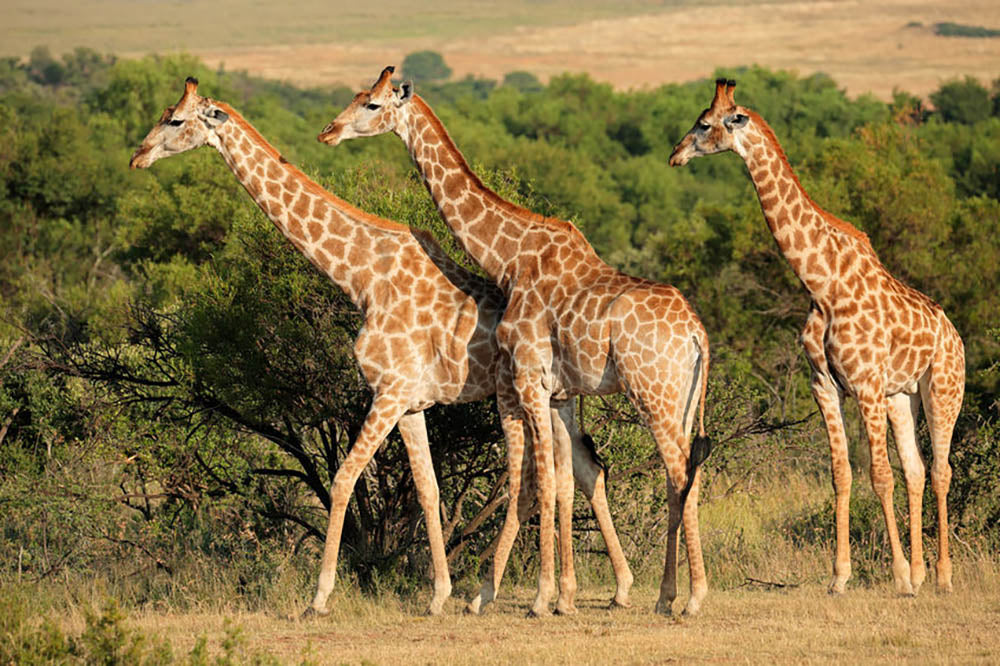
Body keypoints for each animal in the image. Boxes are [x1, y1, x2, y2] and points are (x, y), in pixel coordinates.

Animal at [129, 77, 635, 616]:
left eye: (175, 120)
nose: (138, 156)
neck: (361, 276)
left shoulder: (387, 391)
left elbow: (343, 478)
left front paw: (320, 596)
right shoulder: (410, 404)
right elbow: (429, 490)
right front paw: (438, 594)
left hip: (514, 395)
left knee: (538, 479)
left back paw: (518, 594)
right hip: (559, 397)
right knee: (580, 470)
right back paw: (591, 591)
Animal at [319, 67, 712, 617]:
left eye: (372, 105)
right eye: (358, 96)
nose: (329, 131)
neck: (509, 255)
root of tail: (698, 333)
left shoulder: (529, 379)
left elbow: (542, 482)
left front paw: (541, 597)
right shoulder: (559, 392)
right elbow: (562, 479)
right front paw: (562, 596)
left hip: (653, 394)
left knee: (678, 476)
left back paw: (690, 598)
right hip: (681, 399)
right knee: (686, 475)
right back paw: (665, 595)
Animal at [670, 78, 965, 595]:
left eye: (704, 124)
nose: (675, 155)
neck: (820, 282)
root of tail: (956, 337)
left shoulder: (864, 385)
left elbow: (879, 475)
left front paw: (897, 576)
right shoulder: (824, 384)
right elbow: (841, 474)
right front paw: (841, 576)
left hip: (943, 389)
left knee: (942, 470)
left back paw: (941, 577)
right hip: (902, 396)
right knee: (917, 469)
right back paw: (924, 572)